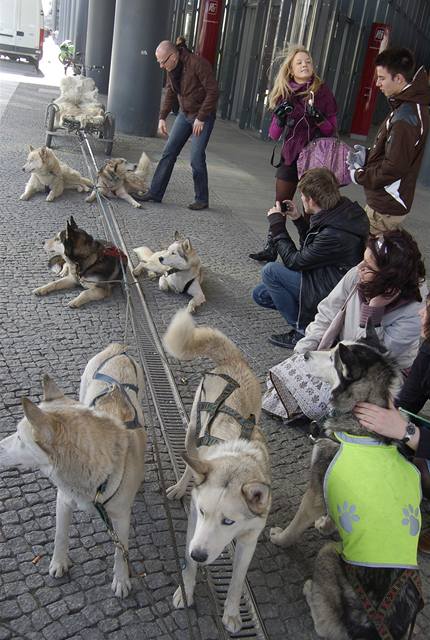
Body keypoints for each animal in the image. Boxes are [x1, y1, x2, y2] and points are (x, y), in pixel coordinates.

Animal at [0, 344, 146, 600]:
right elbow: (60, 535)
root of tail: (118, 348)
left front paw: (121, 579)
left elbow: (121, 551)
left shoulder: (121, 518)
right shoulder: (63, 499)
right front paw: (59, 563)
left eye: (18, 437)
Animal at [163, 312, 270, 636]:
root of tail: (233, 360)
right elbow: (187, 564)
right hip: (193, 427)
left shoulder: (248, 539)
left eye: (229, 521)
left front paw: (232, 613)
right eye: (202, 511)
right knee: (190, 462)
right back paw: (180, 486)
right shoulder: (194, 523)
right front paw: (186, 589)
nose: (199, 554)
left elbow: (237, 582)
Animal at [270, 324, 422, 640]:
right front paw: (328, 524)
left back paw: (310, 589)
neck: (358, 421)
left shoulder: (314, 492)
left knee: (326, 626)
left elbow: (295, 527)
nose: (305, 354)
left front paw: (280, 538)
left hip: (329, 554)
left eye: (332, 357)